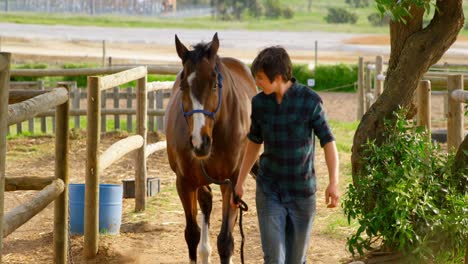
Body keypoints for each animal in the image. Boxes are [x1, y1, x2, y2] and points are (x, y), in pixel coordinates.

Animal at [165, 33, 258, 264]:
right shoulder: (185, 183)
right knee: (206, 202)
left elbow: (225, 241)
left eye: (215, 84)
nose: (200, 142)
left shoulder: (232, 183)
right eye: (183, 86)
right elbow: (192, 234)